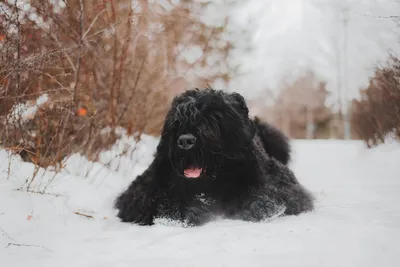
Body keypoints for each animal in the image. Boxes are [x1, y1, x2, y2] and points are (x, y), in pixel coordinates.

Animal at [114, 88, 314, 226]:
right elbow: (156, 198)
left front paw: (260, 205)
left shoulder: (280, 180)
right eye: (176, 122)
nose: (185, 141)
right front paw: (183, 210)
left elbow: (269, 192)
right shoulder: (142, 188)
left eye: (211, 119)